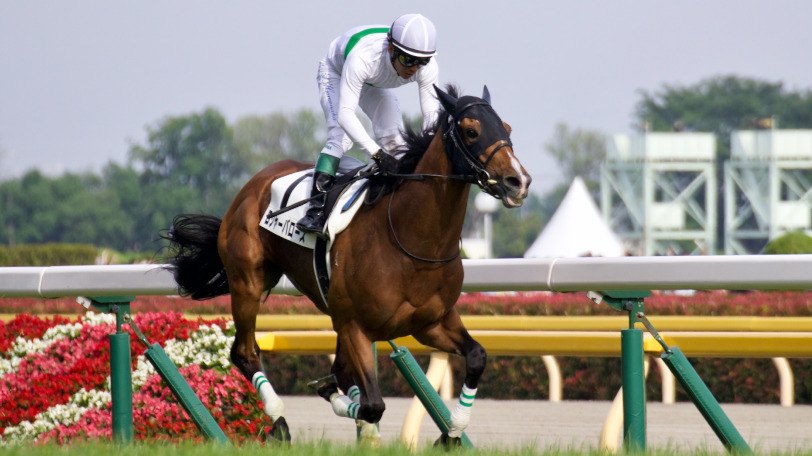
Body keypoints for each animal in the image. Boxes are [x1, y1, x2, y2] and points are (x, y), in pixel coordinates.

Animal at [162, 85, 532, 445]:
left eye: (508, 129)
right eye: (471, 131)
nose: (518, 181)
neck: (411, 240)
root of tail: (254, 184)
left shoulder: (431, 323)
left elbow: (477, 356)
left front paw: (453, 429)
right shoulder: (356, 325)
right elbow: (372, 405)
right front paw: (333, 396)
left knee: (335, 366)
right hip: (248, 283)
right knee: (244, 352)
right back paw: (279, 422)